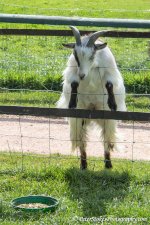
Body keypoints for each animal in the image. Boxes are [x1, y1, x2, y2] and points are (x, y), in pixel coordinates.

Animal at [56, 25, 126, 169]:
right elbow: (74, 83)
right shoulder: (73, 72)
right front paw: (72, 103)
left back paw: (108, 164)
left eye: (91, 55)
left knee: (107, 140)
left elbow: (109, 84)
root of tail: (92, 111)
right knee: (82, 141)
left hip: (107, 120)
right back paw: (83, 165)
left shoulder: (109, 72)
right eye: (76, 55)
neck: (92, 69)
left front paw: (113, 103)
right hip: (79, 120)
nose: (82, 75)